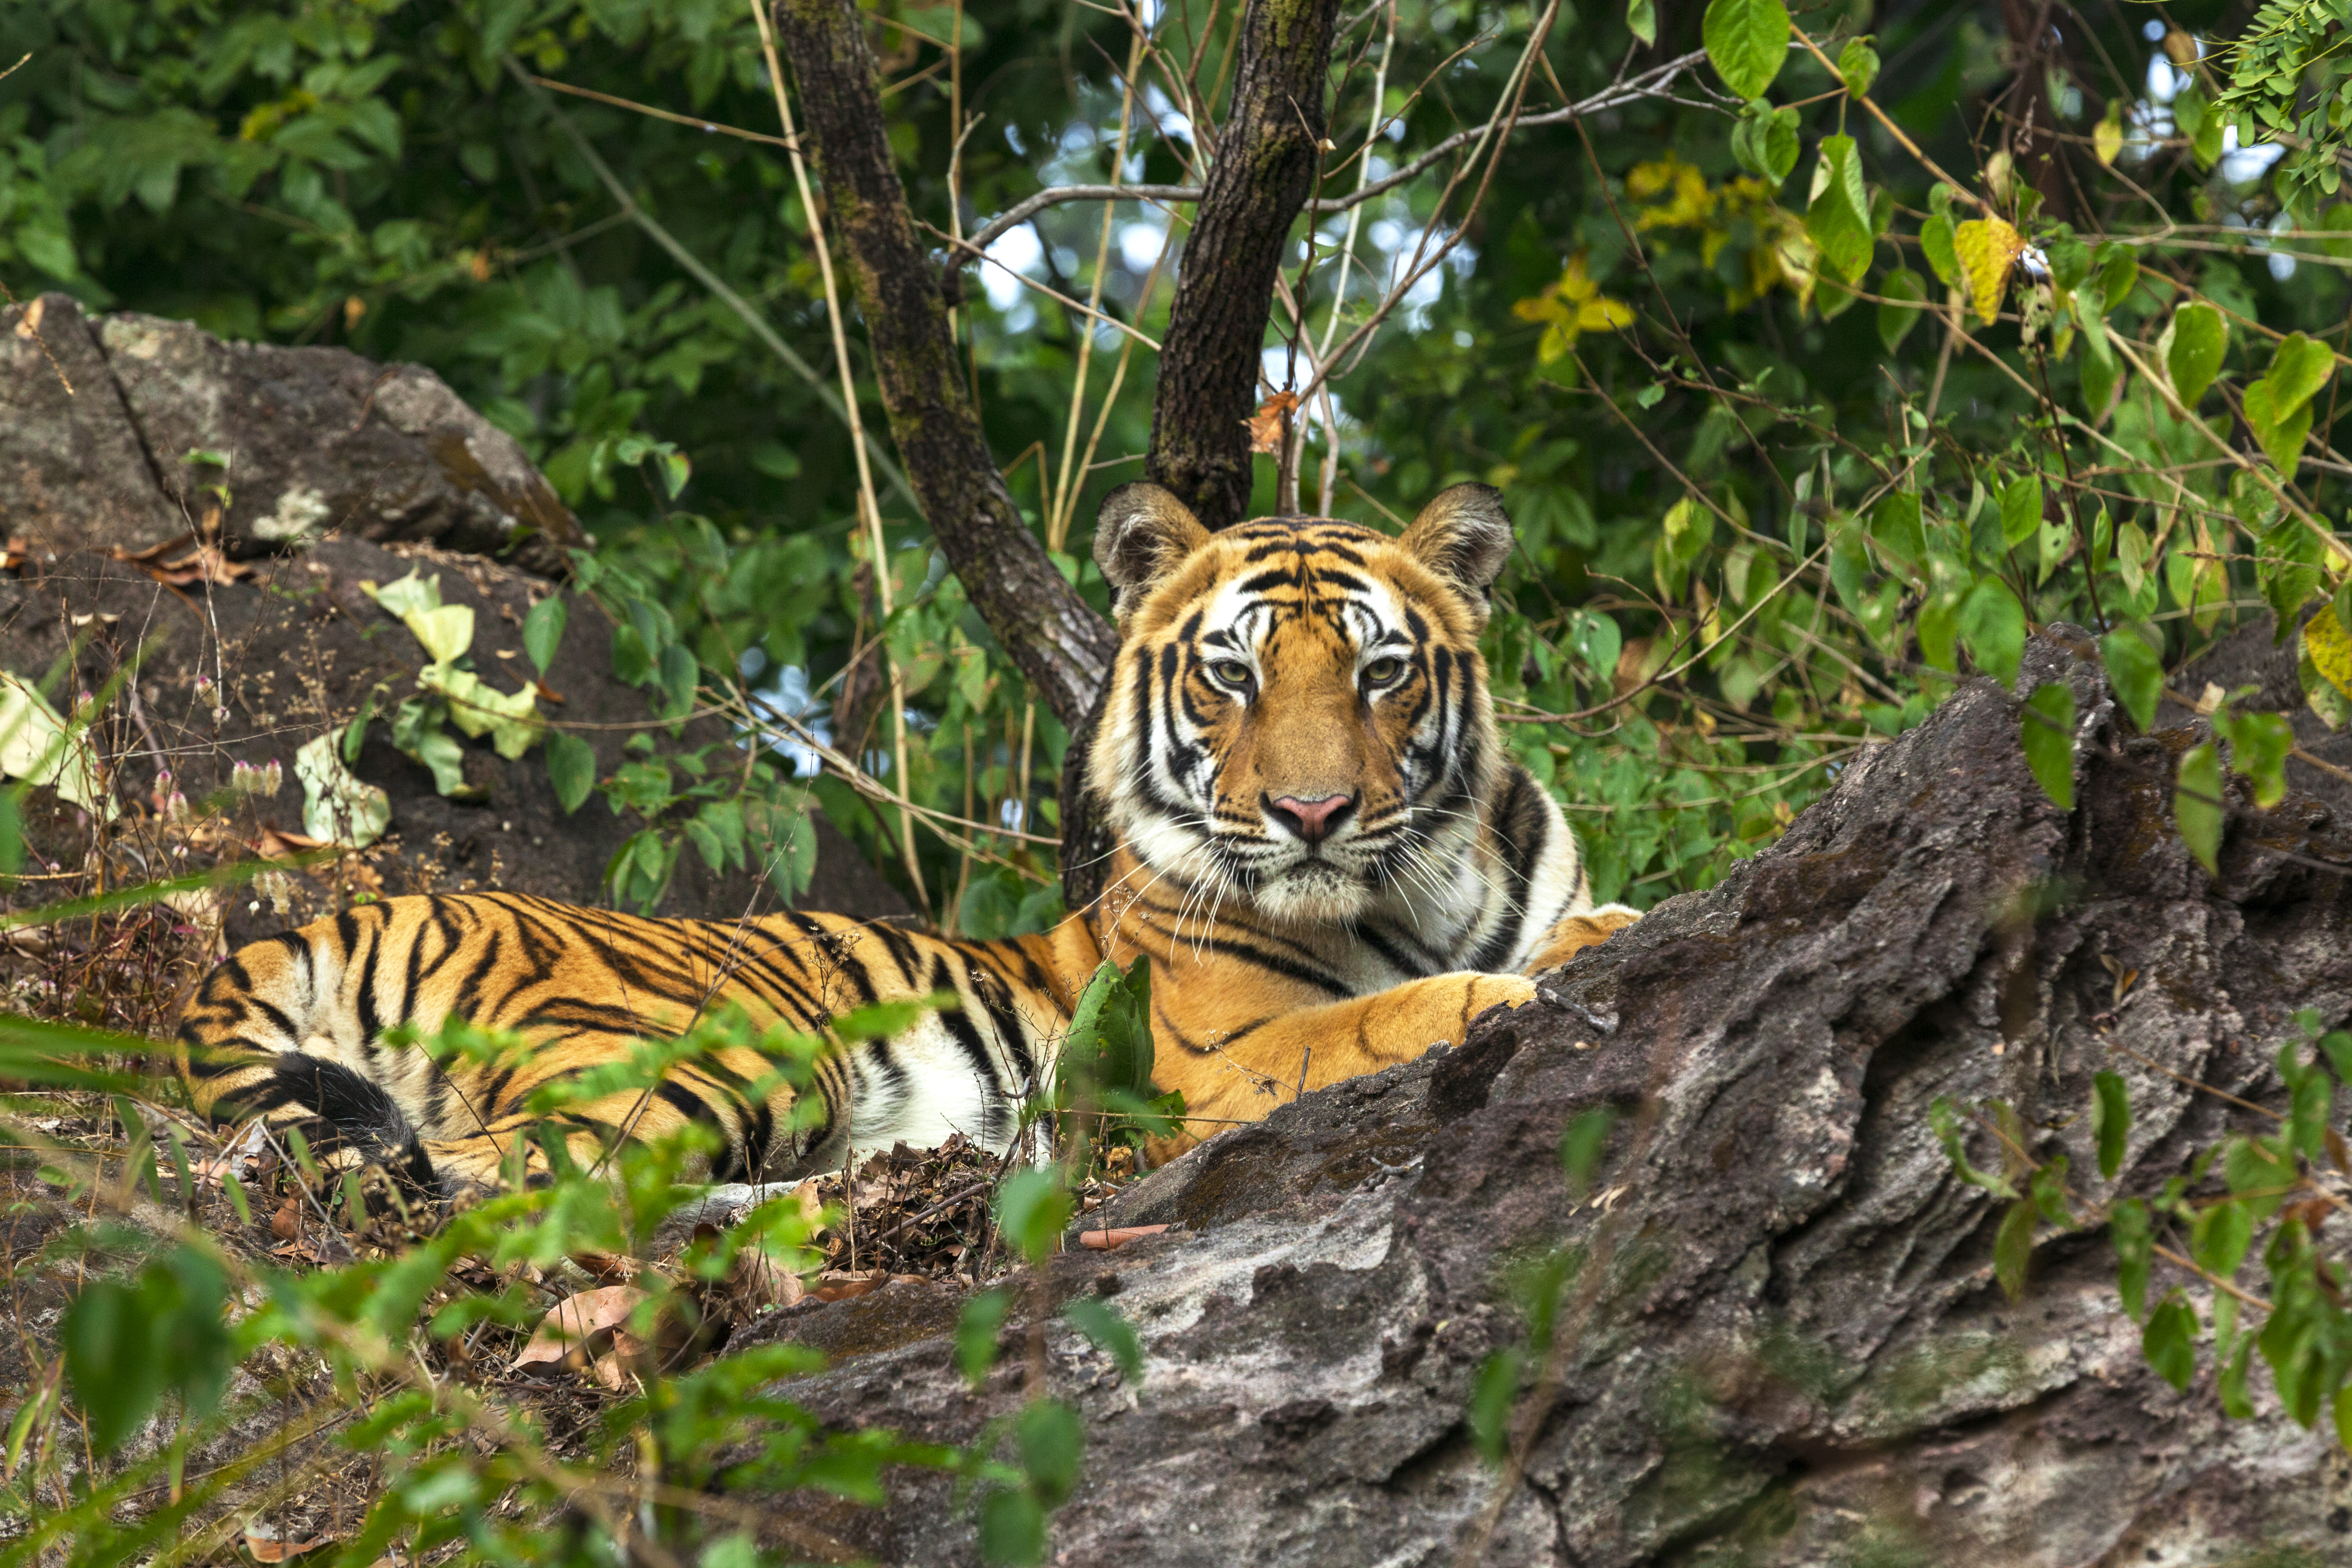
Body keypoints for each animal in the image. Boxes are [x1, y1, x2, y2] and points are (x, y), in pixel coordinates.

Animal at [174, 484, 1637, 1194]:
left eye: (1381, 675)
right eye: (1235, 676)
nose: (1314, 815)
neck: (1427, 883)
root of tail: (354, 911)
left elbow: (1576, 926)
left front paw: (1590, 943)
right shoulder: (1215, 1057)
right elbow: (1381, 1015)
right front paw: (1500, 998)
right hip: (718, 1055)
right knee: (495, 1184)